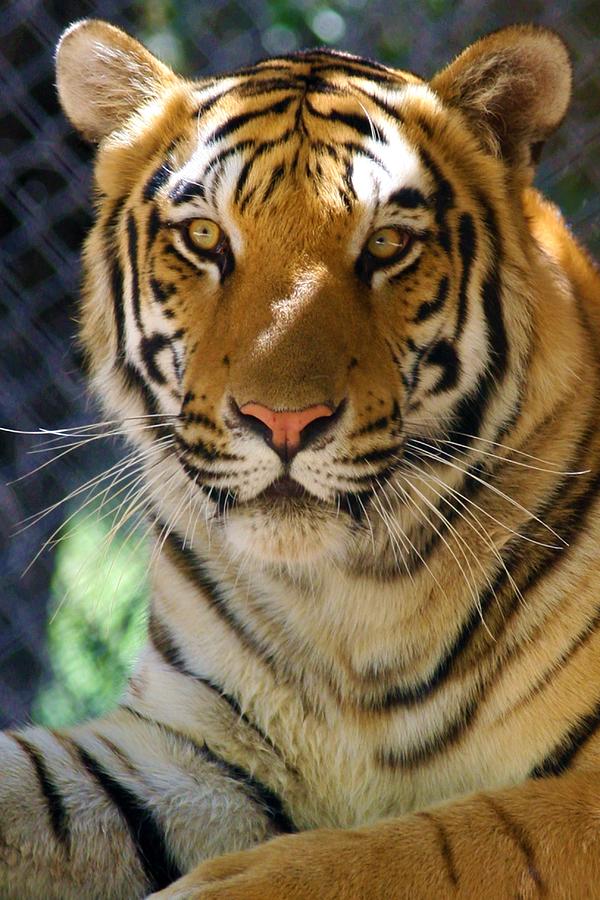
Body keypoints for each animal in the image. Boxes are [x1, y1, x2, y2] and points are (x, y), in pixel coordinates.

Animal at [2, 15, 596, 900]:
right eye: (205, 236)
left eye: (387, 243)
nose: (284, 422)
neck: (343, 609)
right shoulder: (192, 753)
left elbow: (453, 840)